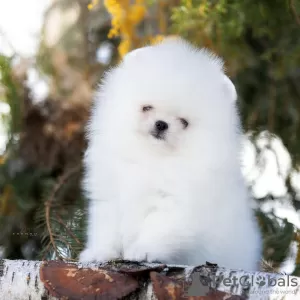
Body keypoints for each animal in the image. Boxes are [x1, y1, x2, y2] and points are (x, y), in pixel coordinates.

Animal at [79, 38, 260, 272]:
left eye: (184, 122)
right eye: (147, 107)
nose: (161, 124)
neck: (150, 158)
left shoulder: (178, 206)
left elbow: (158, 227)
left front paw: (142, 250)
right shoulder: (110, 196)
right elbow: (106, 230)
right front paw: (98, 253)